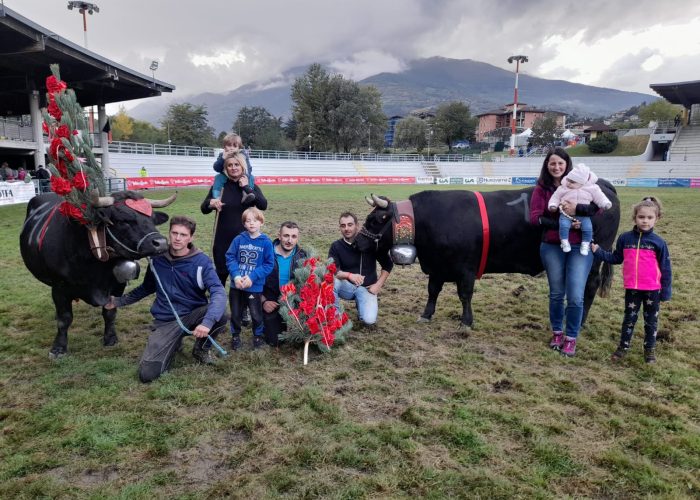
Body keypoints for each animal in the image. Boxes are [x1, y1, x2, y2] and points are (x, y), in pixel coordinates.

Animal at [356, 186, 616, 330]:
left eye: (374, 220)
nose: (358, 243)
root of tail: (605, 186)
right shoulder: (438, 266)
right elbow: (432, 291)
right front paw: (426, 315)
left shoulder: (466, 268)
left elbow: (464, 295)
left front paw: (466, 321)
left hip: (593, 257)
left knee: (590, 286)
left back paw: (580, 321)